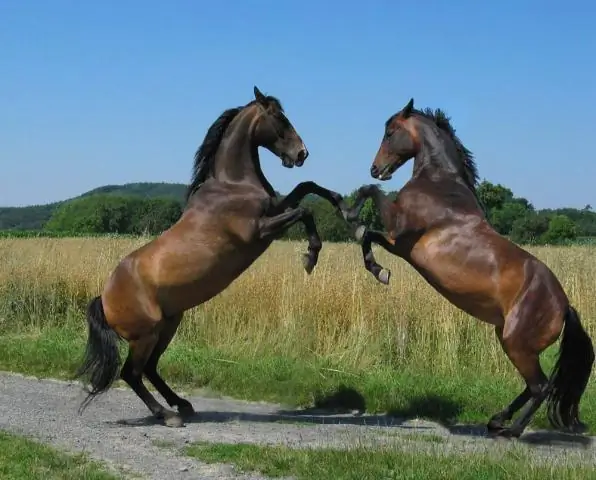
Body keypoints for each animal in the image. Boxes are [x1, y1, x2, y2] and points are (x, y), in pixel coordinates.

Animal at [75, 86, 346, 428]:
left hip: (168, 325)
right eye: (279, 118)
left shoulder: (274, 208)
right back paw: (168, 415)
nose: (301, 154)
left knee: (149, 368)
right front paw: (311, 255)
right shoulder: (260, 230)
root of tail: (104, 297)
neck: (232, 185)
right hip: (146, 335)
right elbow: (305, 210)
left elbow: (305, 187)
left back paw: (183, 405)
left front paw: (341, 204)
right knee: (132, 373)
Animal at [342, 98, 592, 438]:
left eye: (390, 132)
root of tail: (564, 306)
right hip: (510, 339)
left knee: (540, 386)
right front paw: (378, 269)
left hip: (516, 343)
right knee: (533, 386)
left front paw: (350, 214)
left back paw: (512, 431)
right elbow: (369, 236)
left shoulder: (398, 228)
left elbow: (369, 195)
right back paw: (497, 420)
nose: (376, 168)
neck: (438, 185)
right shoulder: (397, 243)